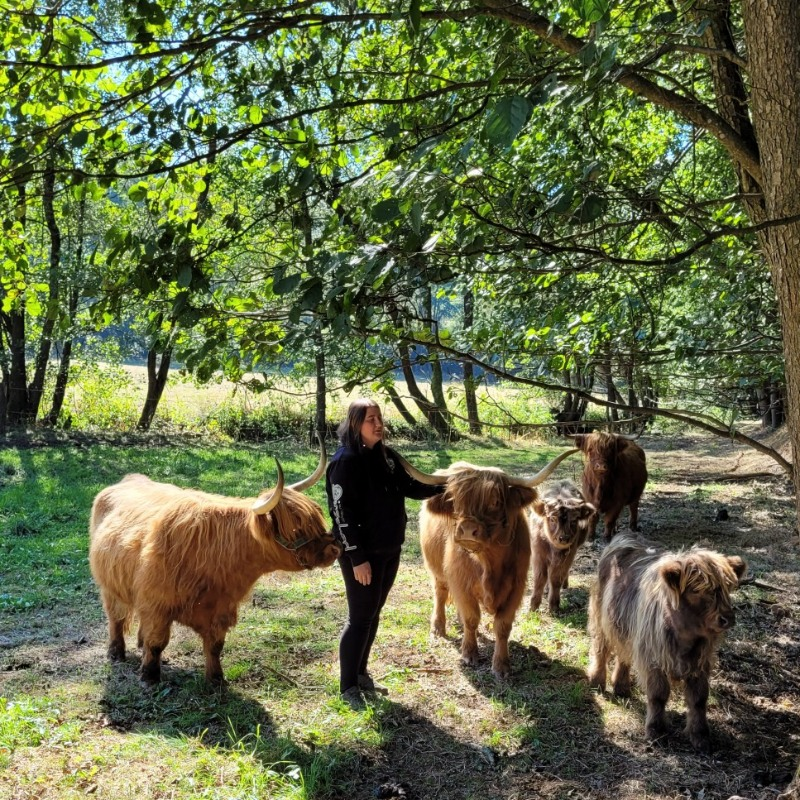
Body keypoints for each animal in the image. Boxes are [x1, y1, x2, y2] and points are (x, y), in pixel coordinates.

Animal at [89, 446, 341, 686]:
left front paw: (216, 680)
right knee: (115, 617)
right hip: (110, 586)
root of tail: (129, 479)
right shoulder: (157, 604)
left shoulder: (221, 610)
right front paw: (149, 677)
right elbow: (157, 642)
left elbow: (215, 646)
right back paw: (116, 653)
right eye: (296, 529)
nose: (334, 548)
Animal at [398, 449, 578, 678]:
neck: (488, 561)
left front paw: (501, 665)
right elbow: (471, 618)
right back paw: (438, 628)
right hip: (436, 569)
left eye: (495, 502)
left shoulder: (516, 586)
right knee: (440, 593)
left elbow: (502, 626)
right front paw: (469, 654)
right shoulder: (461, 582)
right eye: (456, 501)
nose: (467, 529)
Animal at [529, 480, 595, 614]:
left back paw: (564, 584)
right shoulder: (538, 555)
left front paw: (554, 606)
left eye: (574, 521)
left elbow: (556, 578)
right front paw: (534, 605)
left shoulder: (567, 556)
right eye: (552, 519)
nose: (564, 538)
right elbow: (539, 578)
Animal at [587, 534, 746, 752]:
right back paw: (597, 681)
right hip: (602, 619)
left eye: (727, 588)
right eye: (697, 590)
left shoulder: (700, 663)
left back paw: (621, 687)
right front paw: (656, 731)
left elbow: (699, 699)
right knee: (601, 650)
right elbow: (658, 695)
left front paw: (700, 736)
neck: (686, 637)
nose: (727, 618)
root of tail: (624, 536)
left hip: (627, 628)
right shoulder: (654, 658)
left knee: (624, 654)